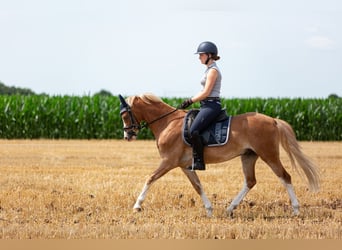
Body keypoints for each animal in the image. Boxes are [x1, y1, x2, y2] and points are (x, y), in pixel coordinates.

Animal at [119, 93, 320, 217]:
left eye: (125, 115)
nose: (127, 136)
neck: (168, 122)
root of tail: (273, 120)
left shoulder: (168, 161)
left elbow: (150, 178)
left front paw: (137, 205)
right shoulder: (185, 166)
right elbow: (198, 186)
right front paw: (209, 210)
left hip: (269, 154)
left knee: (285, 176)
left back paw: (296, 209)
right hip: (249, 156)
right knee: (250, 181)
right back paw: (230, 209)